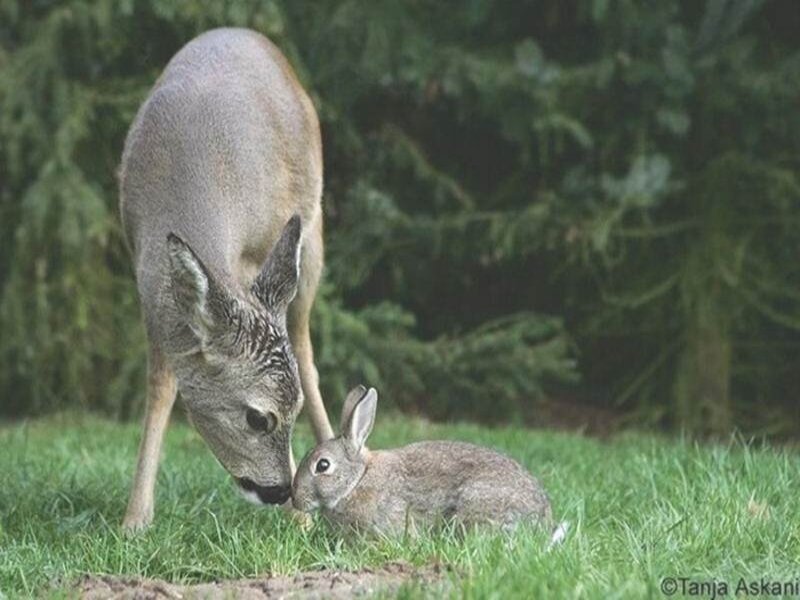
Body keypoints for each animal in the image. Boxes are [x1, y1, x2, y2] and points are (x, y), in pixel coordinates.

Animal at [118, 28, 333, 531]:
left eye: (291, 411)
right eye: (257, 418)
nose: (281, 491)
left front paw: (302, 518)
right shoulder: (146, 272)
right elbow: (162, 383)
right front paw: (135, 519)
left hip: (312, 239)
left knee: (306, 350)